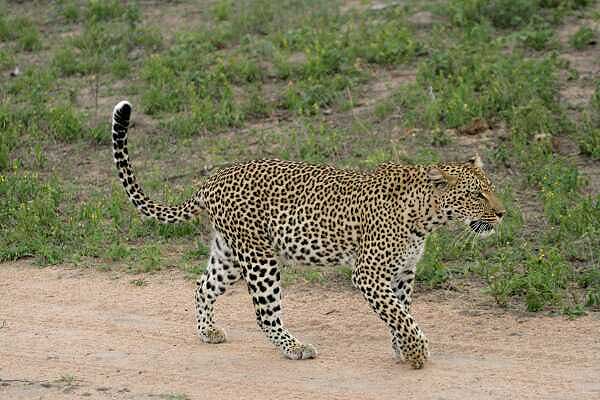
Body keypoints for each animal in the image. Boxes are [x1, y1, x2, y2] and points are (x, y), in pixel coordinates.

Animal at [110, 100, 504, 368]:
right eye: (476, 195)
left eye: (491, 189)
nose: (501, 213)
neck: (426, 217)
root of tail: (212, 179)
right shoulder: (369, 274)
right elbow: (399, 314)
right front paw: (416, 352)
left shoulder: (403, 273)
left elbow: (400, 311)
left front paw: (402, 349)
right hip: (260, 258)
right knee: (265, 314)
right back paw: (295, 347)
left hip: (230, 253)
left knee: (203, 286)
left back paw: (208, 332)